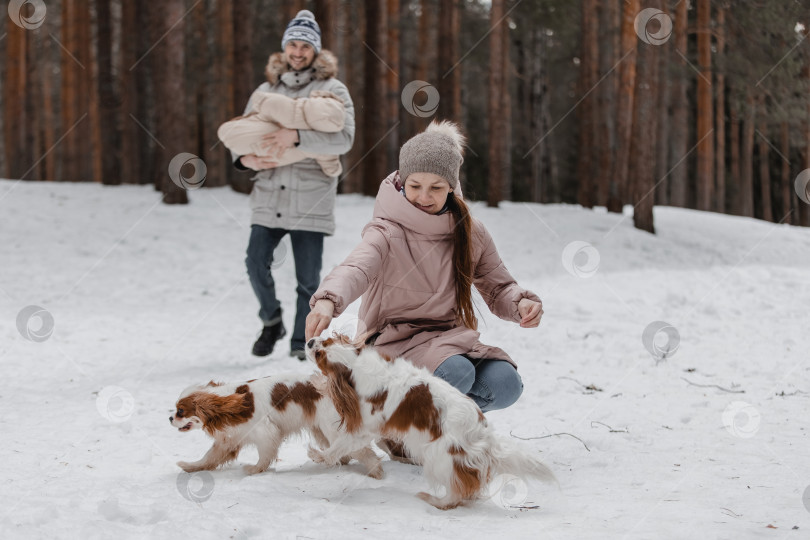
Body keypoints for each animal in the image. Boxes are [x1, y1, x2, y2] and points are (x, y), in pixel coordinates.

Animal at [168, 374, 382, 478]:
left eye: (180, 411)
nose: (169, 418)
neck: (230, 404)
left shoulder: (265, 432)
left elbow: (264, 456)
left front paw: (254, 470)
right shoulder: (228, 440)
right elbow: (208, 458)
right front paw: (189, 467)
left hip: (331, 427)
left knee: (361, 450)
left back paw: (375, 471)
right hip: (321, 431)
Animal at [304, 336, 556, 508]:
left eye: (320, 355)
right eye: (325, 340)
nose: (309, 341)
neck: (358, 367)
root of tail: (484, 435)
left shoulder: (364, 428)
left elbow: (339, 446)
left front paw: (320, 455)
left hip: (439, 456)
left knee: (458, 491)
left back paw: (434, 500)